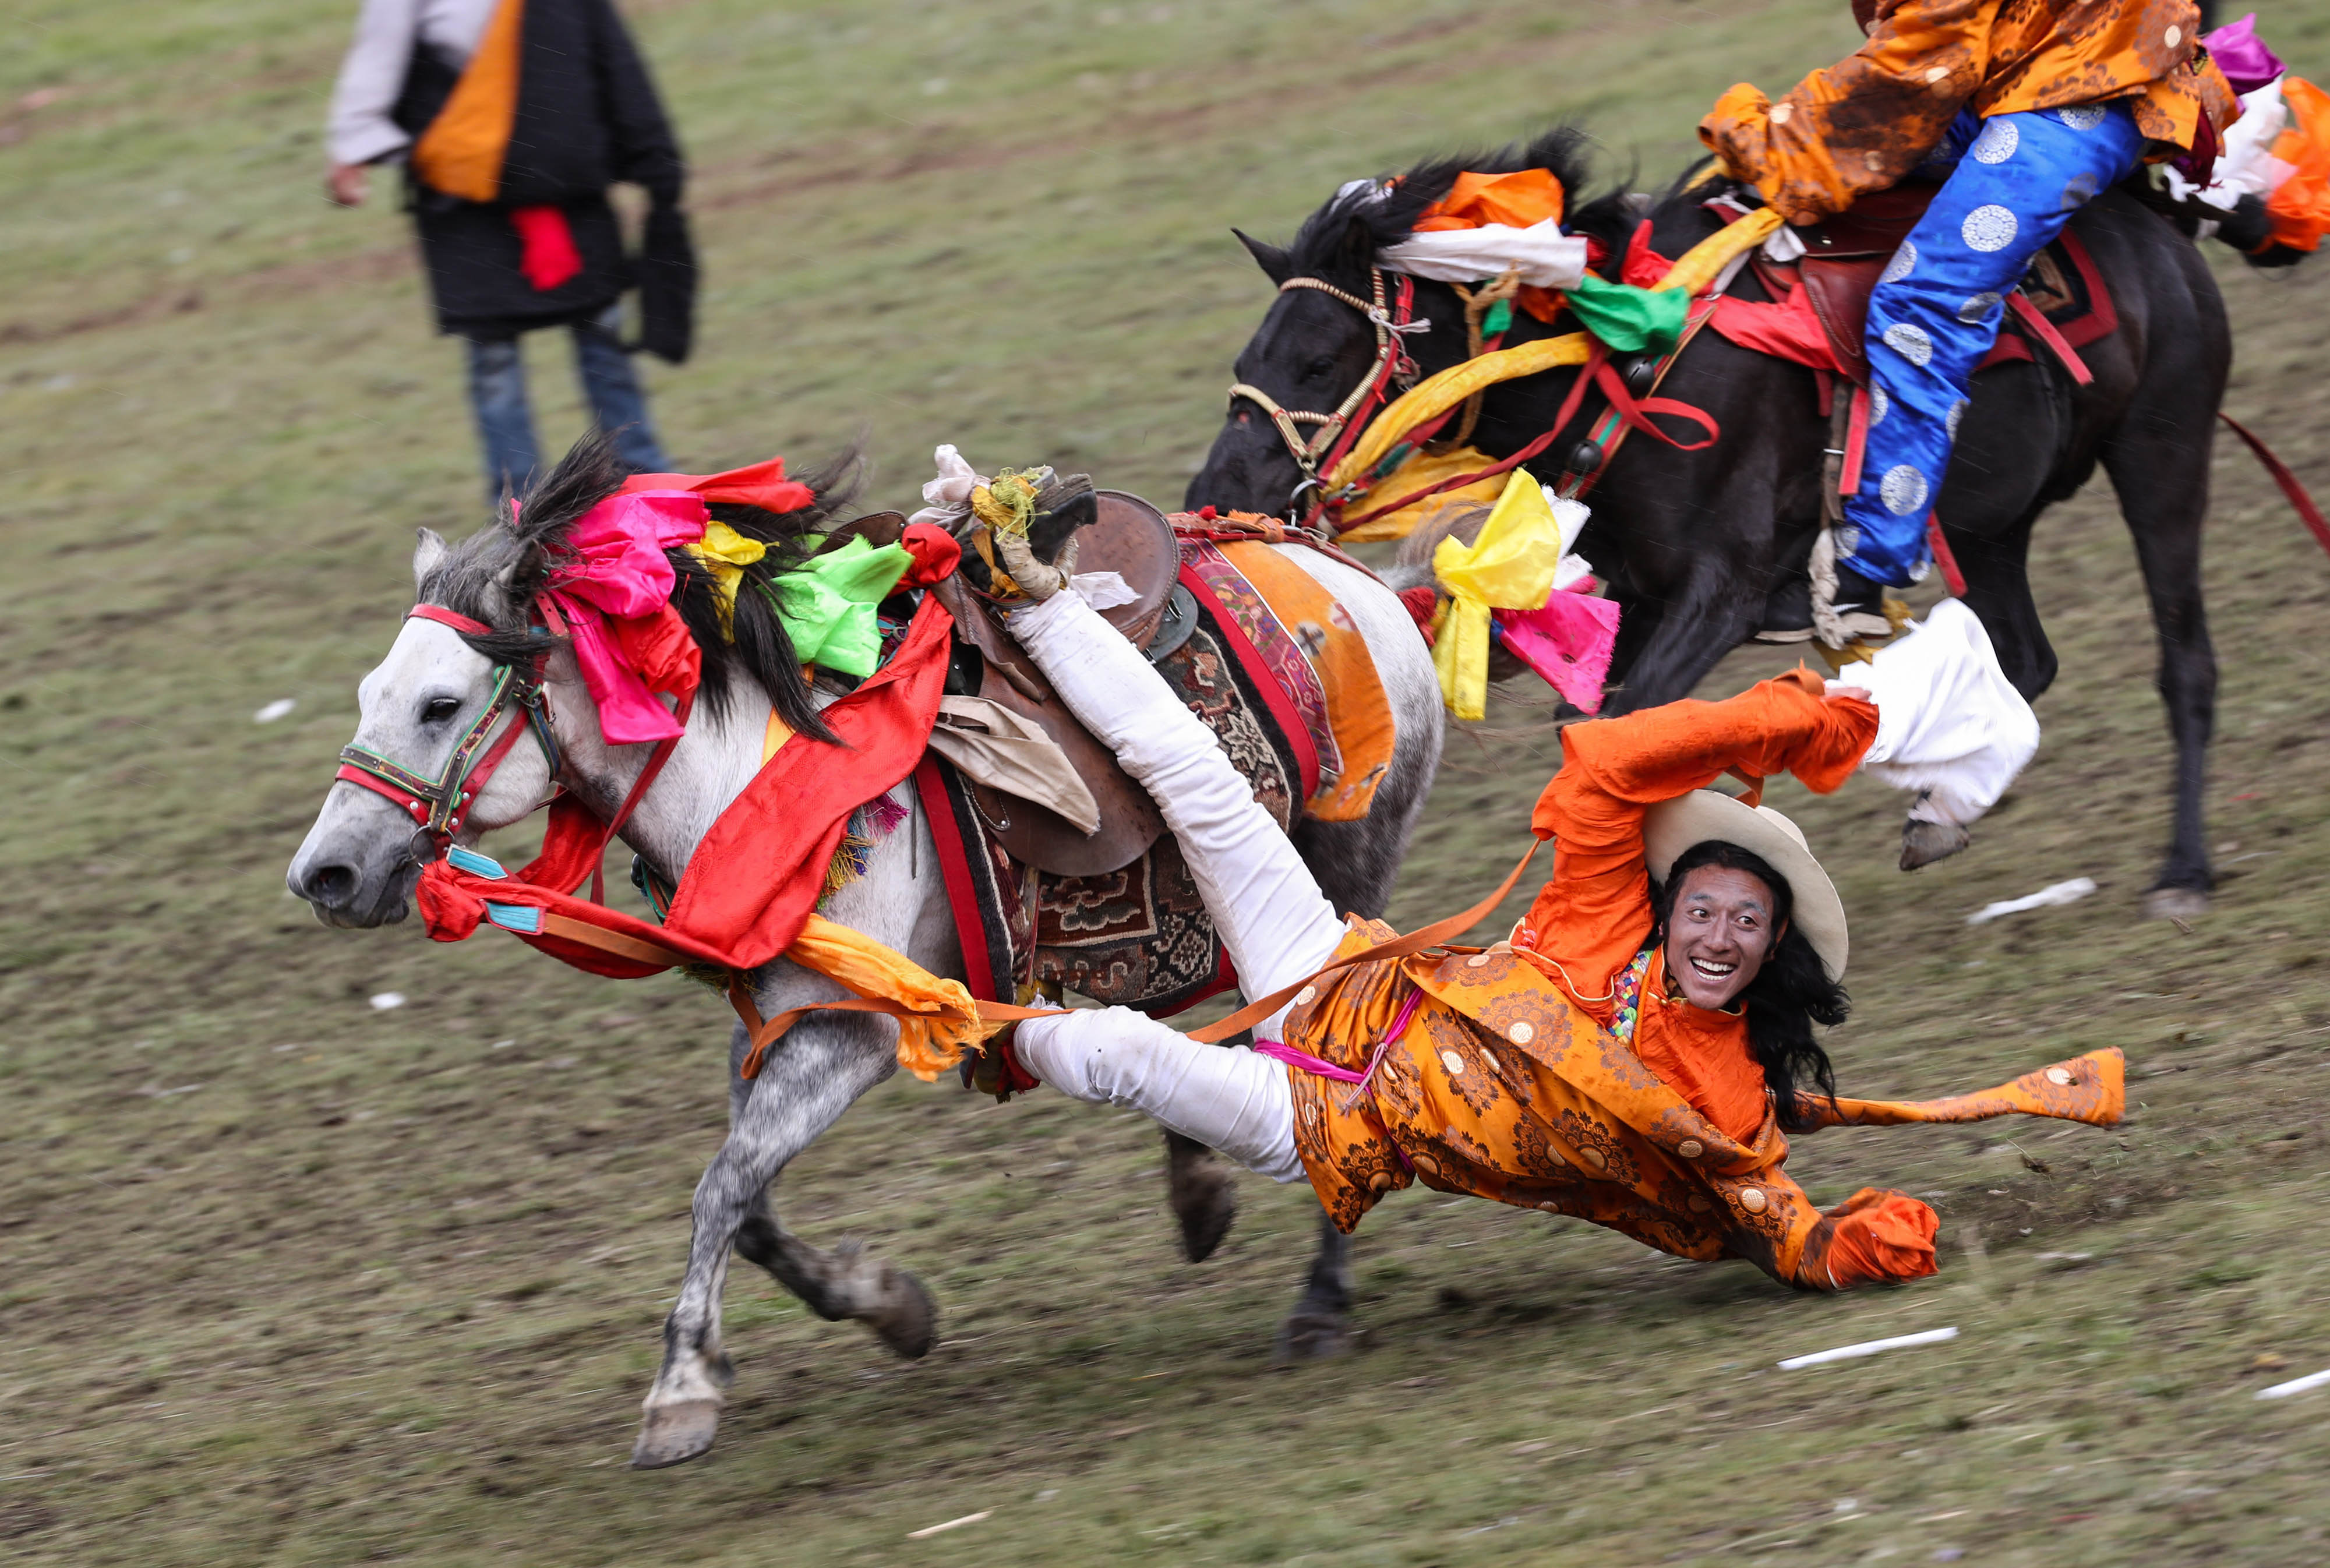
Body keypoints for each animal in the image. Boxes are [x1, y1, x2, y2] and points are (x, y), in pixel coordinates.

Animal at [1193, 128, 2227, 913]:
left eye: (1319, 360)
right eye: (1248, 359)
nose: (1220, 485)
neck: (1623, 364)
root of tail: (2153, 222)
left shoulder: (1721, 594)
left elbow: (1625, 732)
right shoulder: (1640, 598)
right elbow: (1609, 729)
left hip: (2163, 452)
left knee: (2185, 661)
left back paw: (2183, 869)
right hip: (1988, 524)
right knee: (2025, 658)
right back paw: (1945, 804)